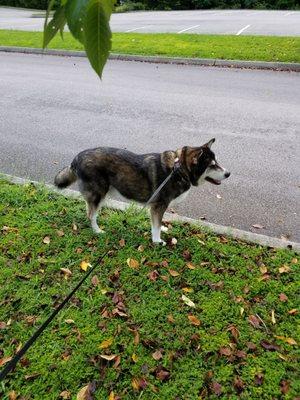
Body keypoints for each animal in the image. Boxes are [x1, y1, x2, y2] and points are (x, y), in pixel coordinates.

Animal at [54, 138, 230, 244]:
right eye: (211, 165)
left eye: (217, 162)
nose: (228, 173)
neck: (178, 169)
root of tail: (76, 158)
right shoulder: (158, 206)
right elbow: (156, 226)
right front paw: (157, 241)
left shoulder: (157, 208)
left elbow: (158, 223)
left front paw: (161, 230)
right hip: (99, 194)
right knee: (91, 214)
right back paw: (97, 231)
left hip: (99, 195)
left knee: (89, 210)